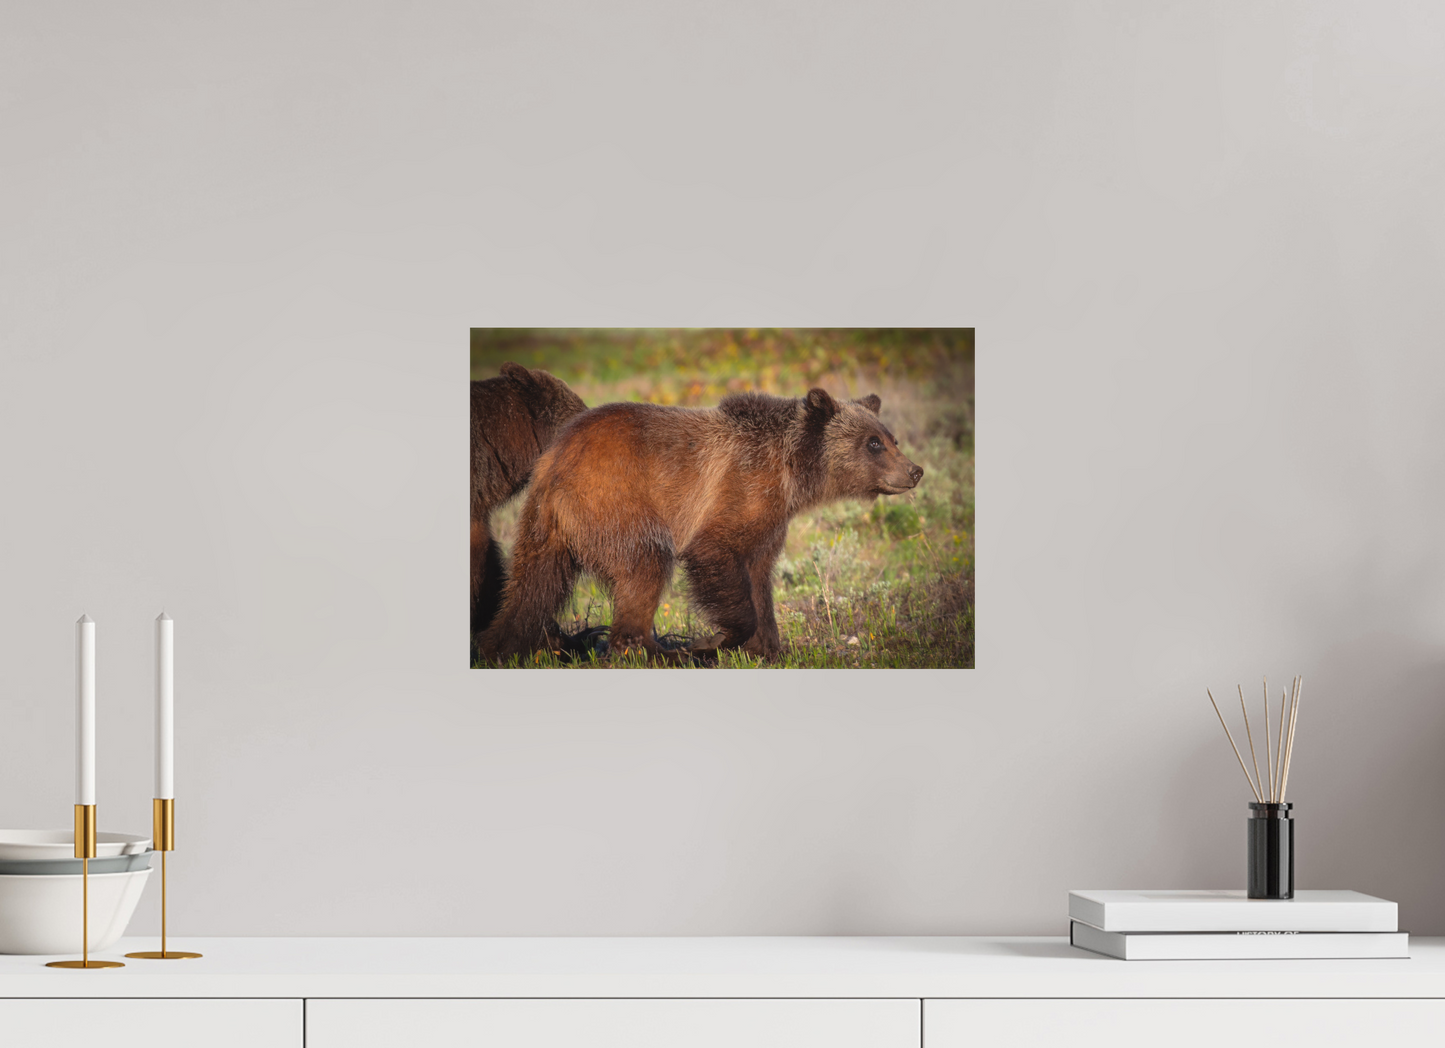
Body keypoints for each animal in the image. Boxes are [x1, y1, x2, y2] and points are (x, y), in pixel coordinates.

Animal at [478, 386, 923, 663]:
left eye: (892, 438)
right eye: (873, 443)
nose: (914, 471)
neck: (789, 472)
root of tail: (553, 459)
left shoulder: (769, 521)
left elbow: (760, 577)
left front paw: (773, 648)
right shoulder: (737, 489)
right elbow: (715, 555)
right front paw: (718, 640)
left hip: (546, 528)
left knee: (533, 586)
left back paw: (499, 645)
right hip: (615, 502)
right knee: (645, 564)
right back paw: (659, 652)